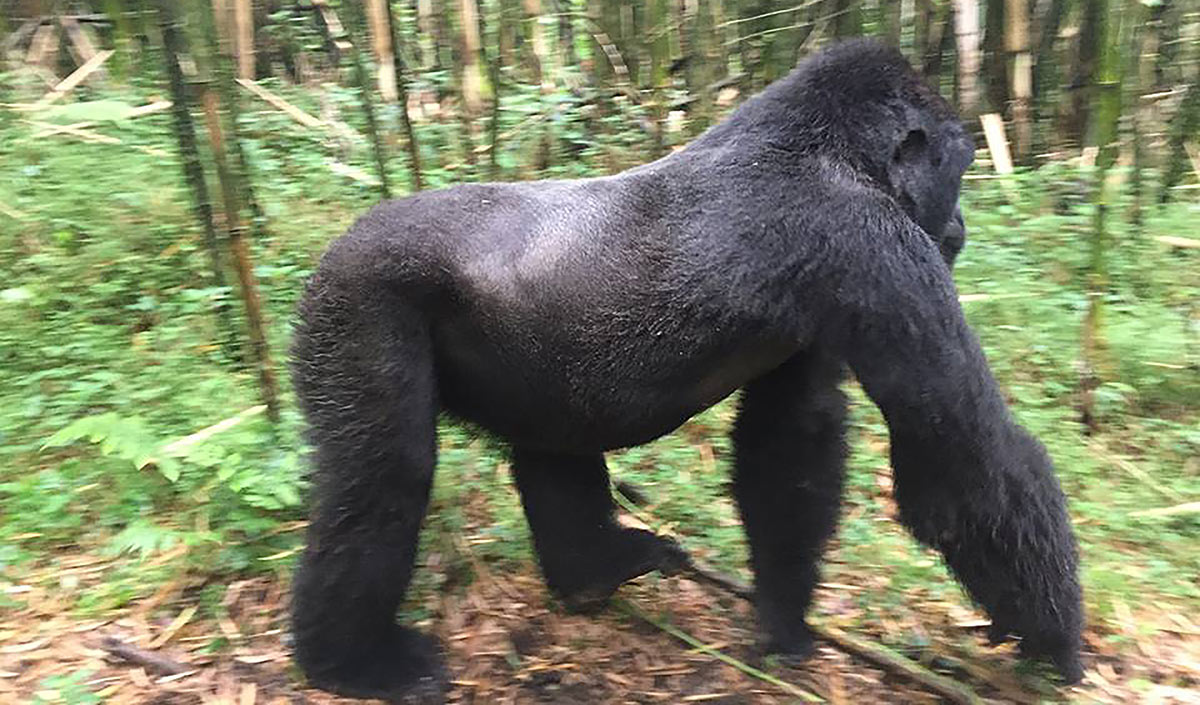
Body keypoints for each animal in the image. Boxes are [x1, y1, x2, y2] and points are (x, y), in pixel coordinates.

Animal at [292, 41, 1089, 700]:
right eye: (959, 171)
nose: (959, 230)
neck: (821, 143)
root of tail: (335, 247)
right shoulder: (875, 244)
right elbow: (966, 467)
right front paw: (1056, 642)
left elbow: (791, 441)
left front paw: (784, 621)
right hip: (358, 301)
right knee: (384, 477)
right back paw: (351, 662)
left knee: (551, 445)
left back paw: (593, 571)